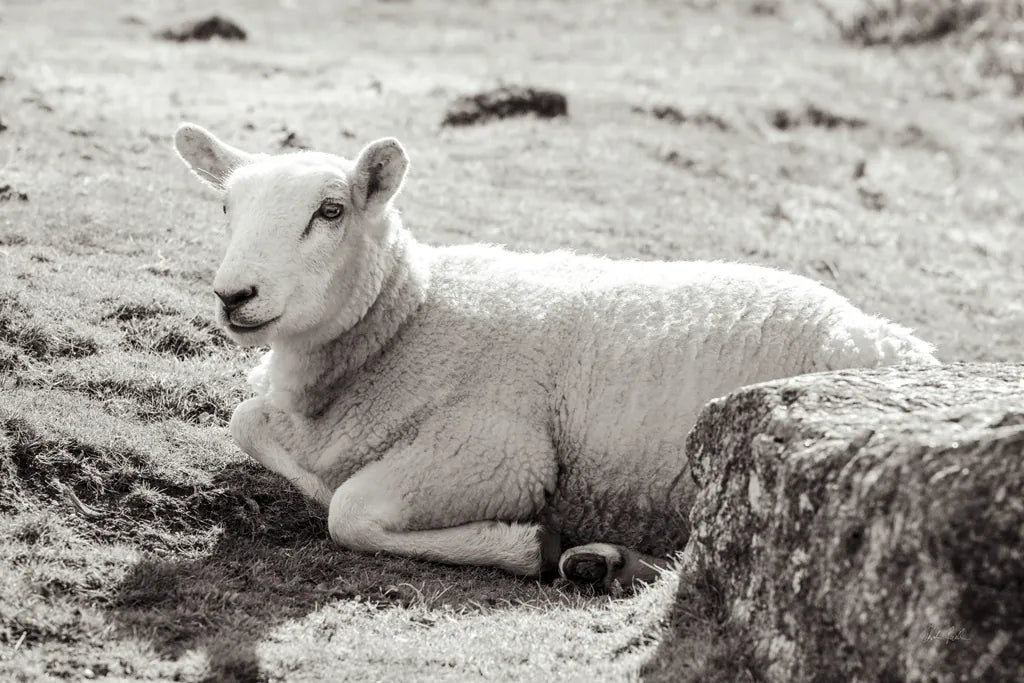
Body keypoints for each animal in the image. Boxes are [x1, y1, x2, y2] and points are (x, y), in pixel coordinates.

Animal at [172, 123, 939, 592]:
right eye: (226, 209)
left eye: (330, 212)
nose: (234, 295)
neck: (407, 320)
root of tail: (905, 343)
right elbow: (245, 420)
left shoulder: (499, 451)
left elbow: (350, 511)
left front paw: (528, 543)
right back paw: (604, 561)